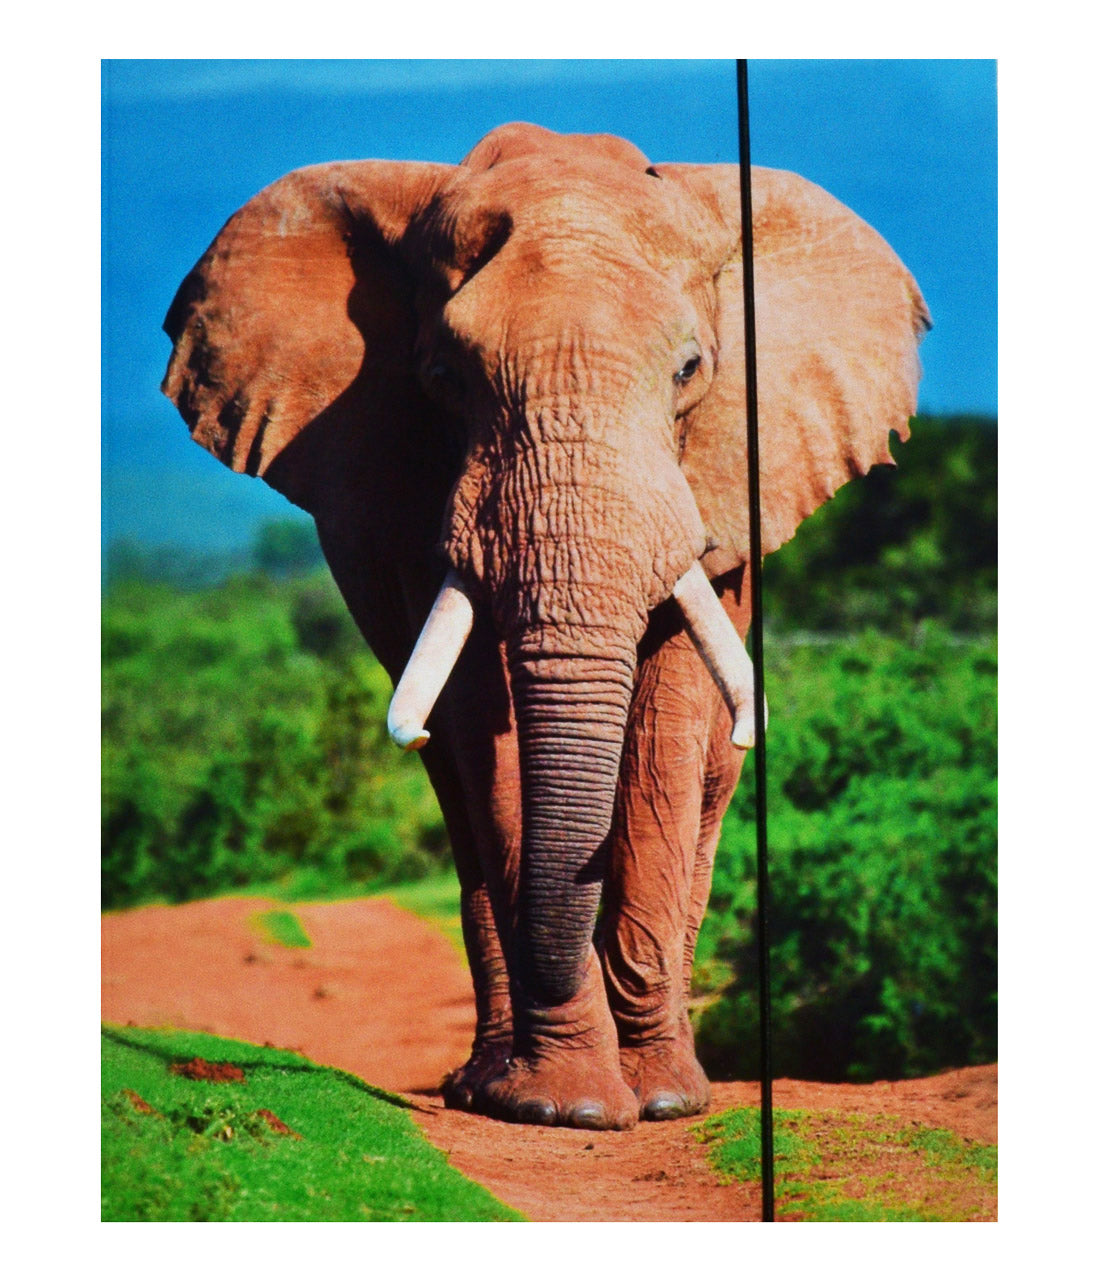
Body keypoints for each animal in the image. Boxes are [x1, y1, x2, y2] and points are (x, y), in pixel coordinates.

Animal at [162, 122, 928, 1131]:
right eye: (442, 379)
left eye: (690, 371)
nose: (640, 1093)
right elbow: (483, 726)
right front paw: (565, 1106)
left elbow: (666, 724)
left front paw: (657, 1099)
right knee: (455, 791)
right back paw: (486, 1085)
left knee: (708, 784)